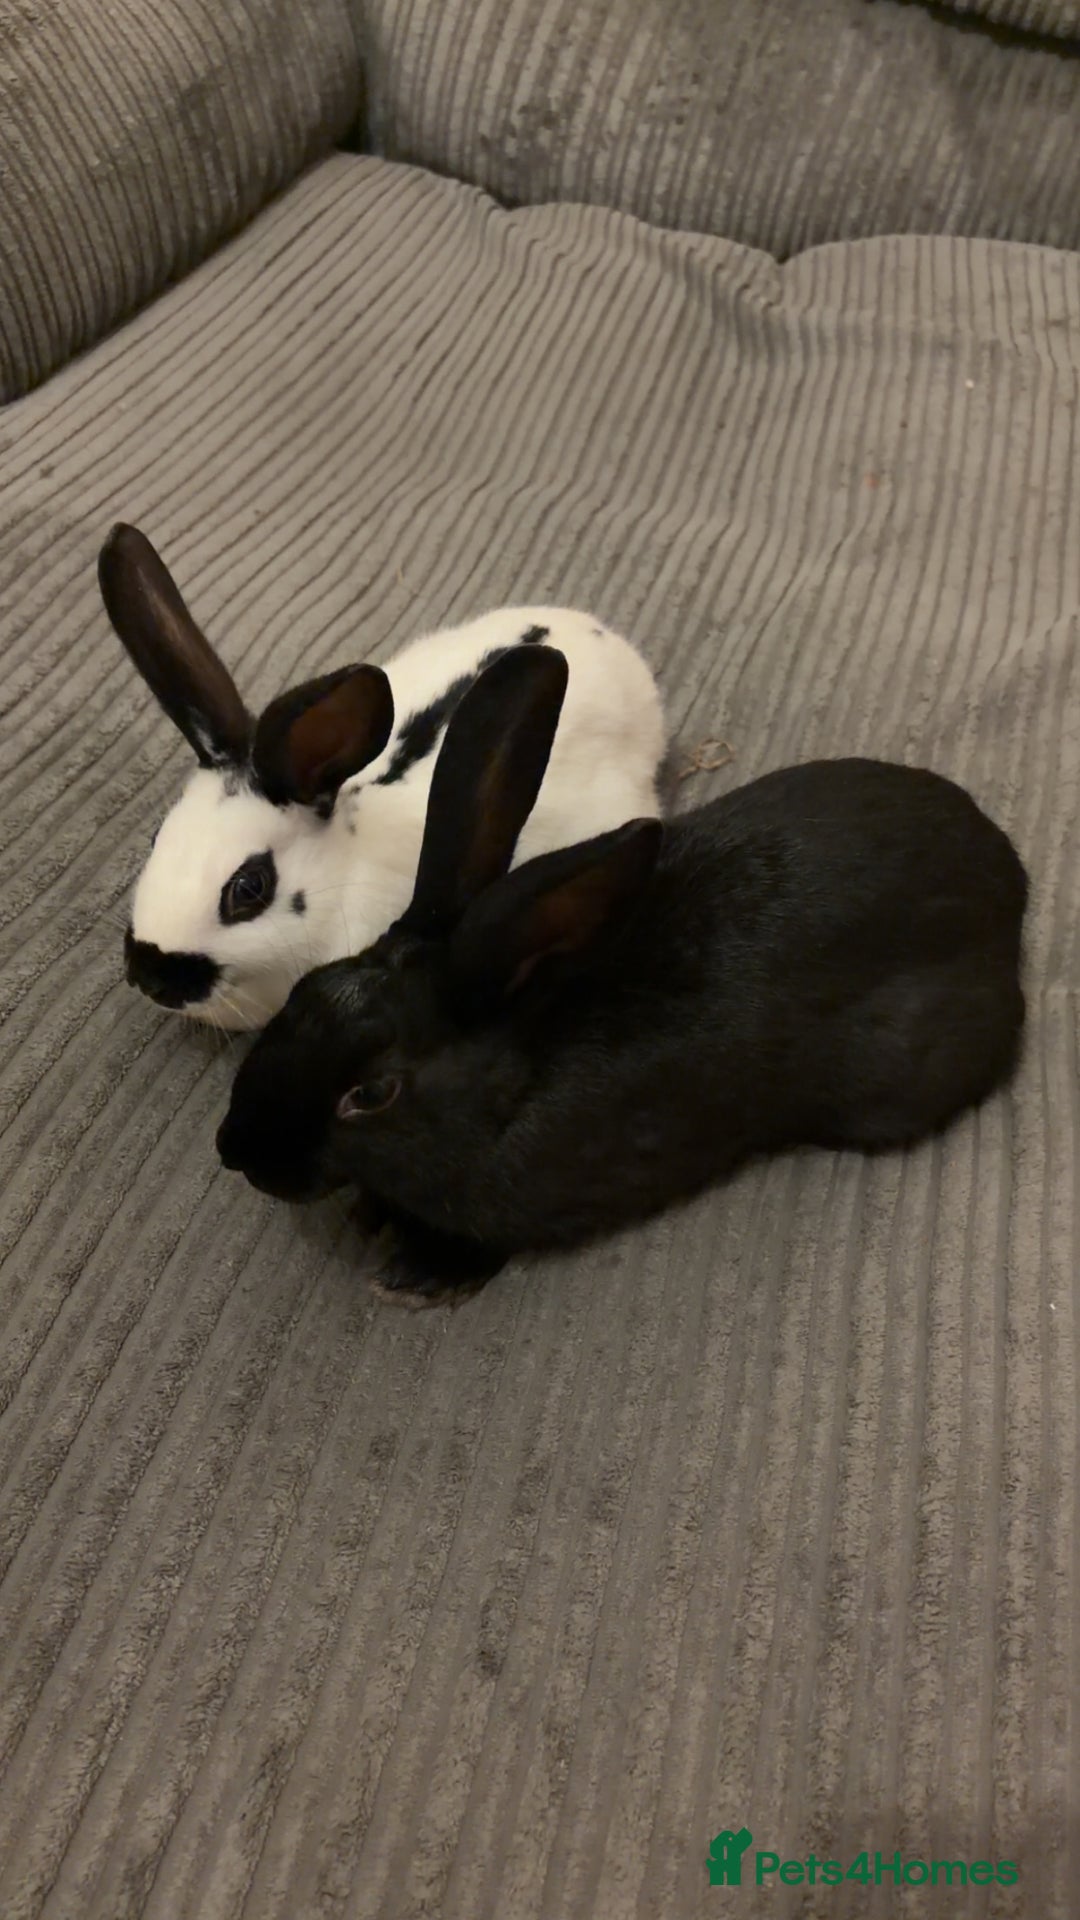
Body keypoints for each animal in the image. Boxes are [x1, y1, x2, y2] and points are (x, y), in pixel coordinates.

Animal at [216, 644, 1028, 1305]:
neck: (505, 1087)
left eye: (371, 1094)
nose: (237, 1154)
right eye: (301, 992)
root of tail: (1007, 878)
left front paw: (418, 1277)